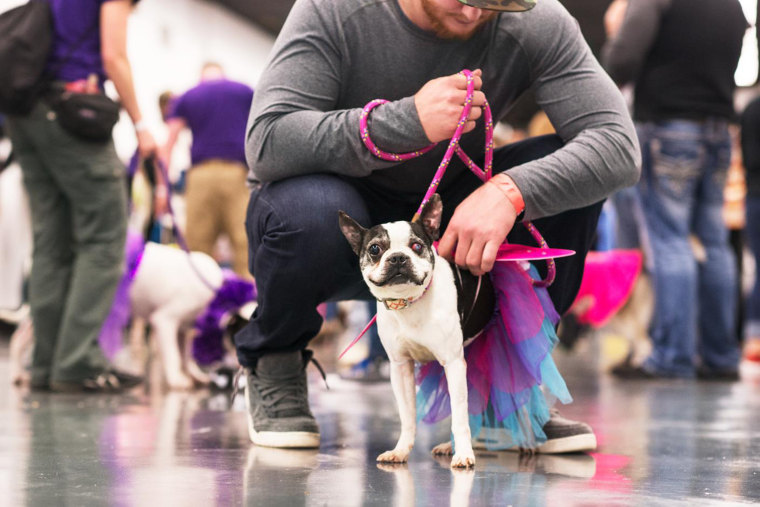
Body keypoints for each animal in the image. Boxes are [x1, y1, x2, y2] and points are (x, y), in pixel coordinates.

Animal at [336, 193, 492, 468]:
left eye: (417, 246)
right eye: (375, 249)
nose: (398, 257)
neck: (408, 302)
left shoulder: (453, 363)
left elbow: (459, 416)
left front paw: (464, 453)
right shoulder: (401, 367)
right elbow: (407, 415)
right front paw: (401, 450)